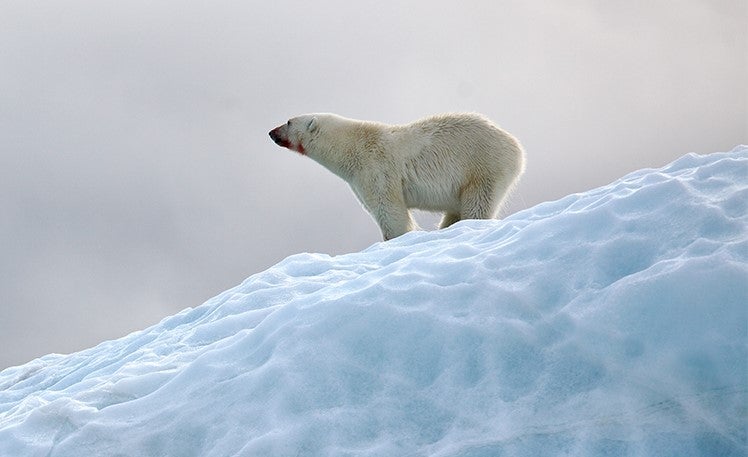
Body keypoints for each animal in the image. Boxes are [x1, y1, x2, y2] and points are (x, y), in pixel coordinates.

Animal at [270, 112, 524, 240]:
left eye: (289, 121)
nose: (271, 132)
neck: (351, 147)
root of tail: (516, 146)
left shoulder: (375, 168)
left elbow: (389, 209)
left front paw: (395, 239)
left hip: (482, 166)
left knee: (477, 203)